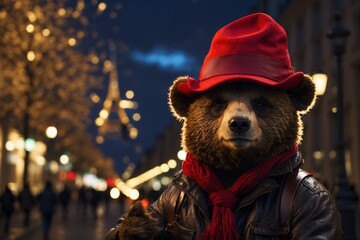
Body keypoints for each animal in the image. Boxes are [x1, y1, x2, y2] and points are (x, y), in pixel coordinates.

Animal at [105, 13, 342, 240]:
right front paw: (137, 225)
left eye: (261, 103)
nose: (239, 123)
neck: (233, 170)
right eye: (218, 103)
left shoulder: (315, 201)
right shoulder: (166, 197)